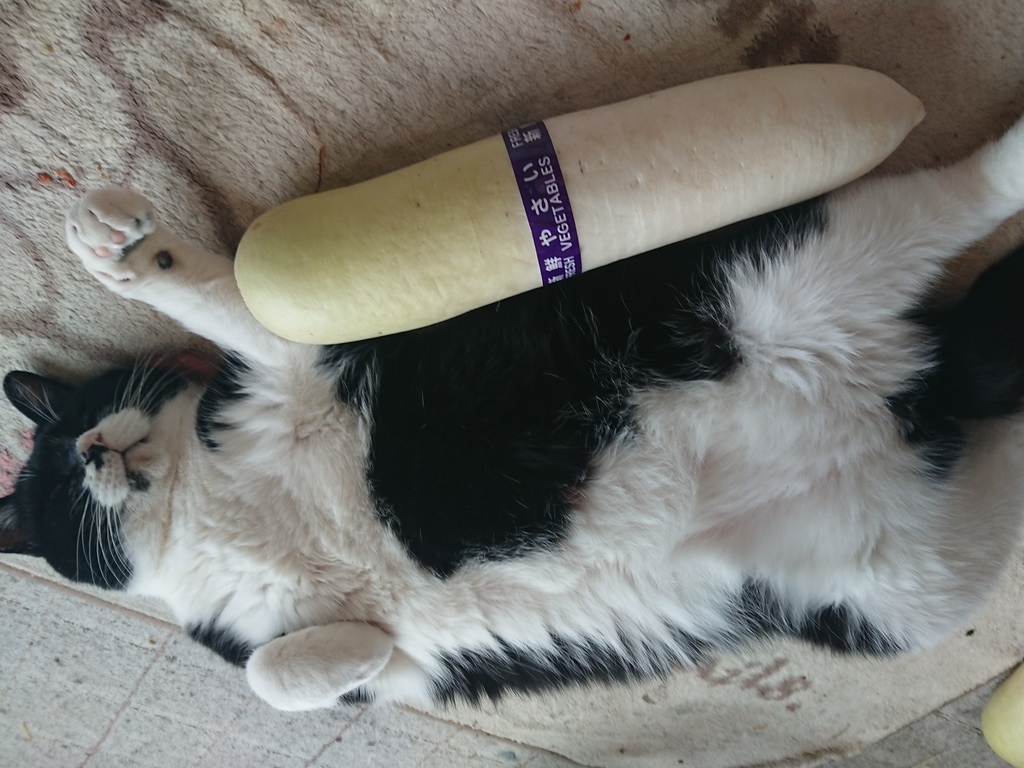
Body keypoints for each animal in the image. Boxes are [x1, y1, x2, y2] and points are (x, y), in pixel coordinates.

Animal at [3, 114, 1024, 712]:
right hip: (896, 586)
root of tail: (906, 389)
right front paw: (349, 655)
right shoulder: (408, 667)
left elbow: (217, 294)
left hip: (789, 257)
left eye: (54, 459)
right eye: (56, 492)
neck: (202, 513)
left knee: (964, 192)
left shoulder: (291, 362)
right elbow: (283, 671)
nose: (88, 450)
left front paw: (120, 250)